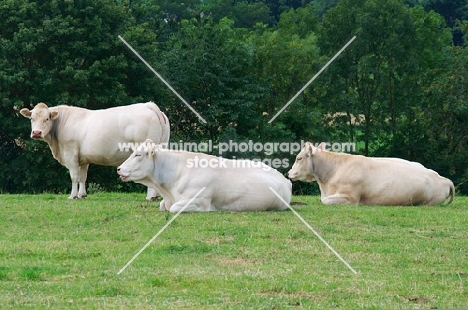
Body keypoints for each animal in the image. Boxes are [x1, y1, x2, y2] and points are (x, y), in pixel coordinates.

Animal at [20, 100, 170, 200]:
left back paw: (150, 197)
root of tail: (148, 105)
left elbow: (74, 176)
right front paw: (82, 195)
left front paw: (73, 196)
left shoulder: (70, 154)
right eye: (32, 118)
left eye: (47, 118)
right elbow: (82, 176)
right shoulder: (83, 159)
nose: (36, 133)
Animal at [116, 139, 292, 213]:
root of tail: (285, 180)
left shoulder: (198, 201)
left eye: (138, 155)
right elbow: (162, 206)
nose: (118, 169)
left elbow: (173, 209)